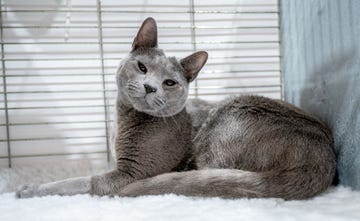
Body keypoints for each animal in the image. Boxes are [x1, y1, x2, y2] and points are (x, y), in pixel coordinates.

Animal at [16, 17, 336, 200]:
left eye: (169, 82)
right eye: (142, 67)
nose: (150, 87)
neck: (122, 122)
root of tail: (323, 155)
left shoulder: (129, 174)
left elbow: (78, 182)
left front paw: (29, 189)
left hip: (227, 119)